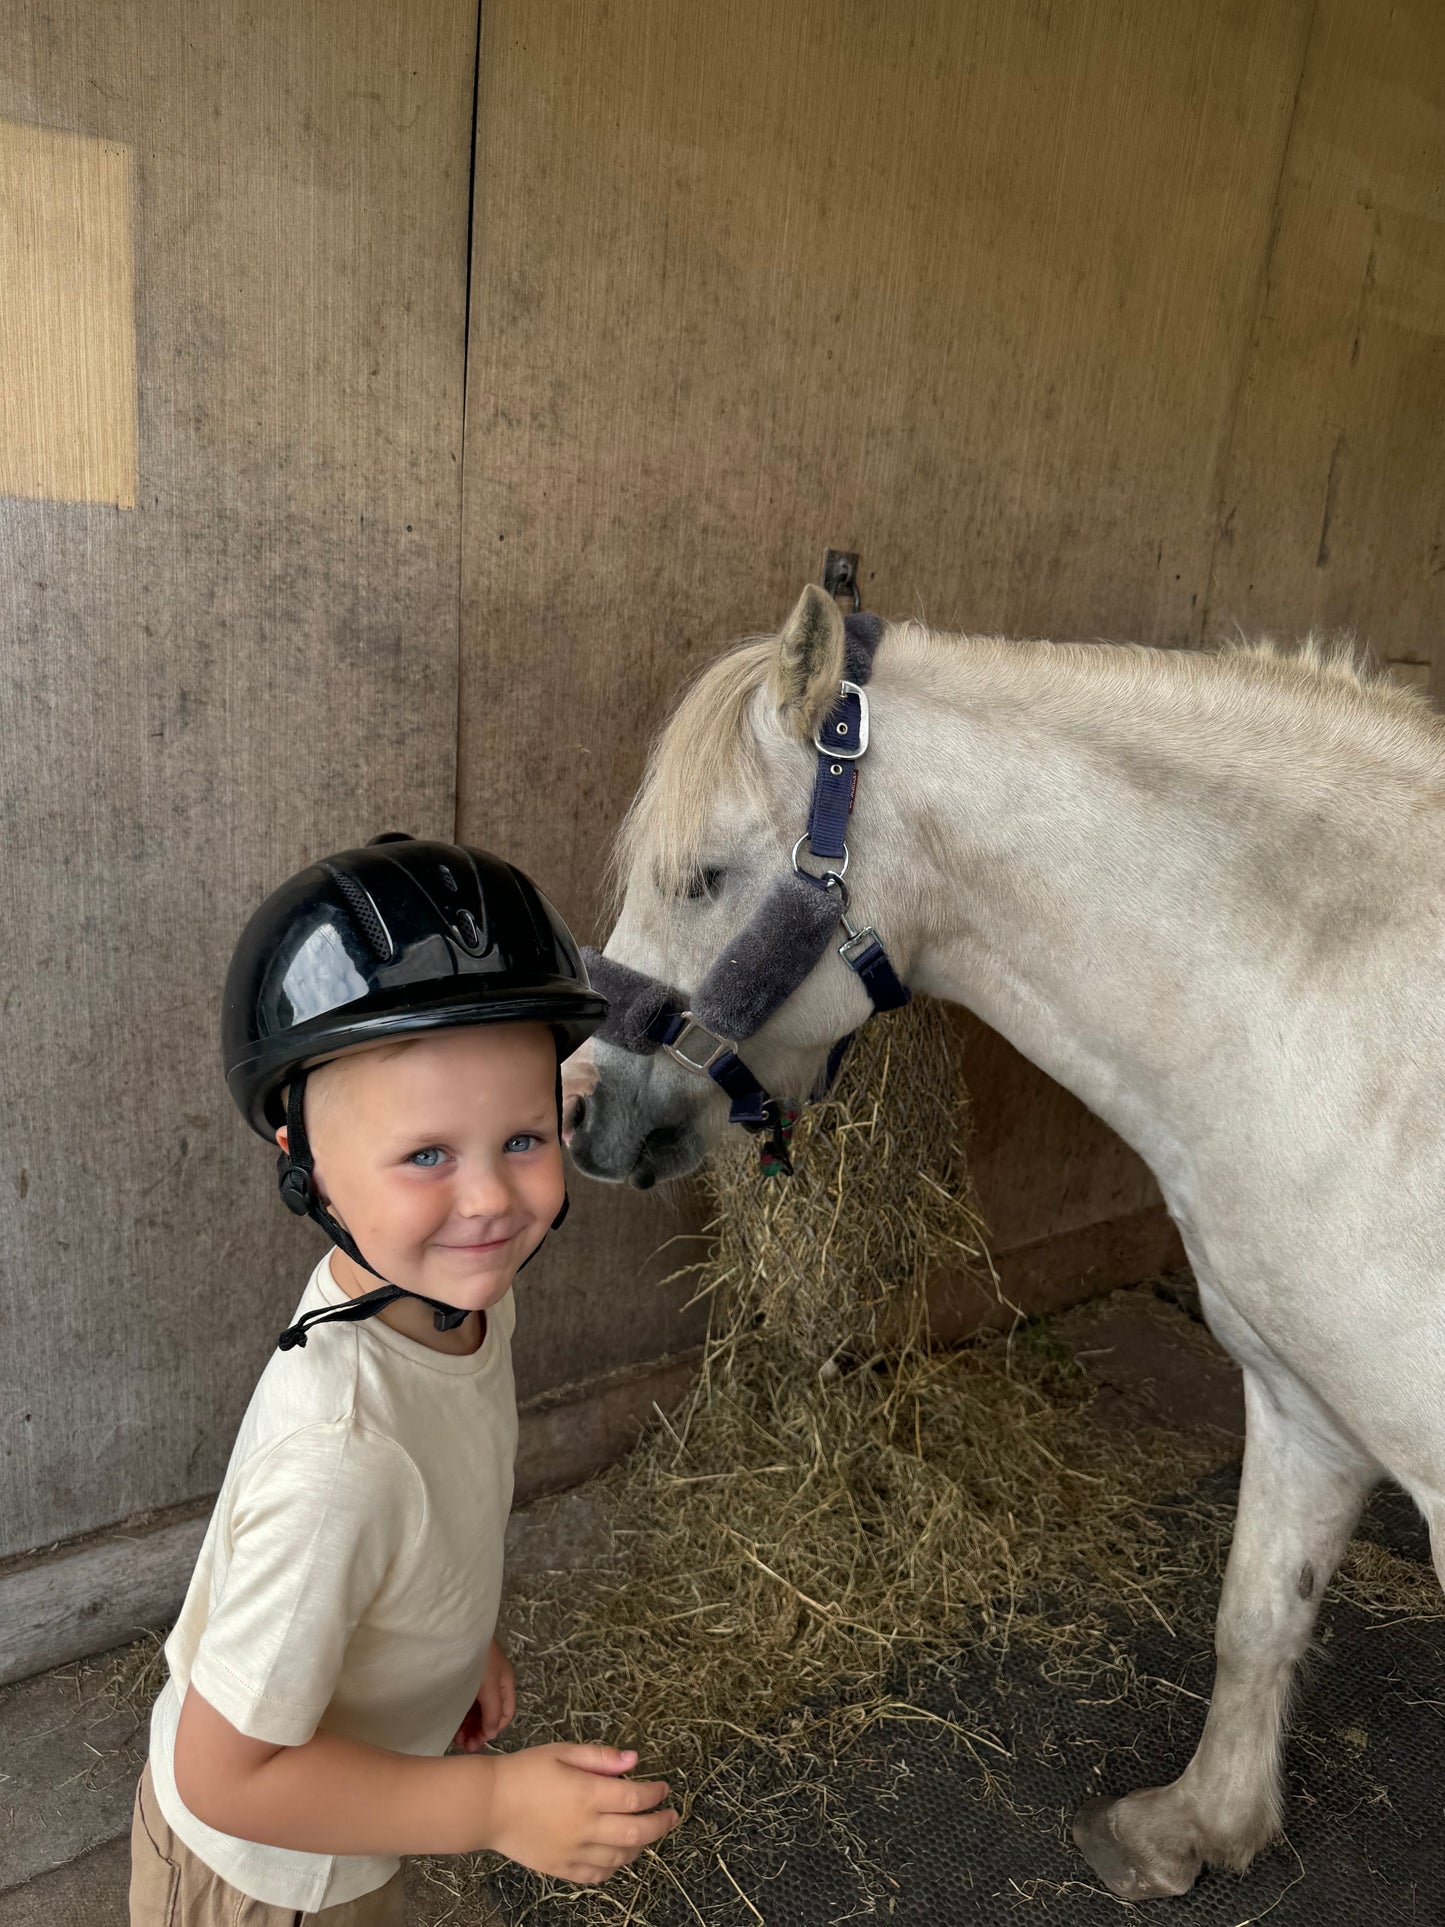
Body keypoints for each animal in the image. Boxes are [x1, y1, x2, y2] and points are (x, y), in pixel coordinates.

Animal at [567, 583, 1445, 1901]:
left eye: (703, 875)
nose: (581, 1111)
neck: (1342, 1026)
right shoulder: (1304, 1405)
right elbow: (1255, 1613)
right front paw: (1193, 1827)